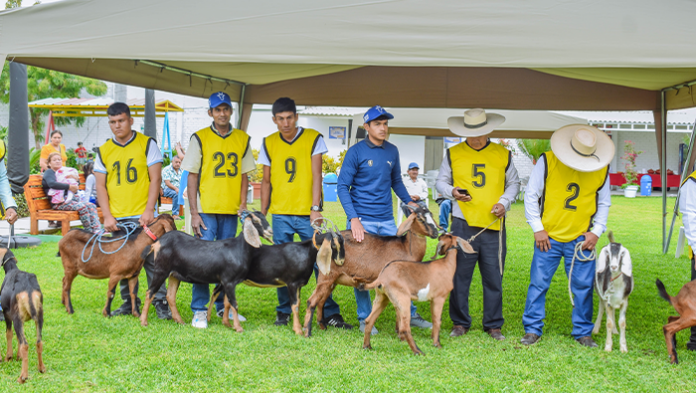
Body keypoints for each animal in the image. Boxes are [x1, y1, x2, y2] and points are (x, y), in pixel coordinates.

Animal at [0, 248, 45, 382]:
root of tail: (29, 289)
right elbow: (18, 338)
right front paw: (18, 357)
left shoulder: (7, 315)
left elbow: (9, 334)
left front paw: (9, 357)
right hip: (39, 318)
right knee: (38, 342)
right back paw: (41, 368)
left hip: (16, 319)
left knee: (25, 345)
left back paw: (23, 376)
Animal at [140, 210, 274, 330]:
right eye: (255, 221)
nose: (270, 231)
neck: (238, 248)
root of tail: (157, 243)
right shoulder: (229, 281)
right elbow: (234, 303)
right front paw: (238, 328)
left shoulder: (228, 282)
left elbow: (227, 303)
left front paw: (227, 324)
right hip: (161, 270)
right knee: (150, 292)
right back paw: (143, 321)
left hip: (174, 274)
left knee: (170, 296)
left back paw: (179, 321)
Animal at [302, 207, 438, 336]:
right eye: (420, 218)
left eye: (431, 215)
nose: (436, 232)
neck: (406, 249)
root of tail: (323, 239)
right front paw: (400, 333)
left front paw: (398, 330)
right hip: (326, 276)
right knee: (311, 301)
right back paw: (307, 332)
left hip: (333, 280)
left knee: (321, 302)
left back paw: (322, 326)